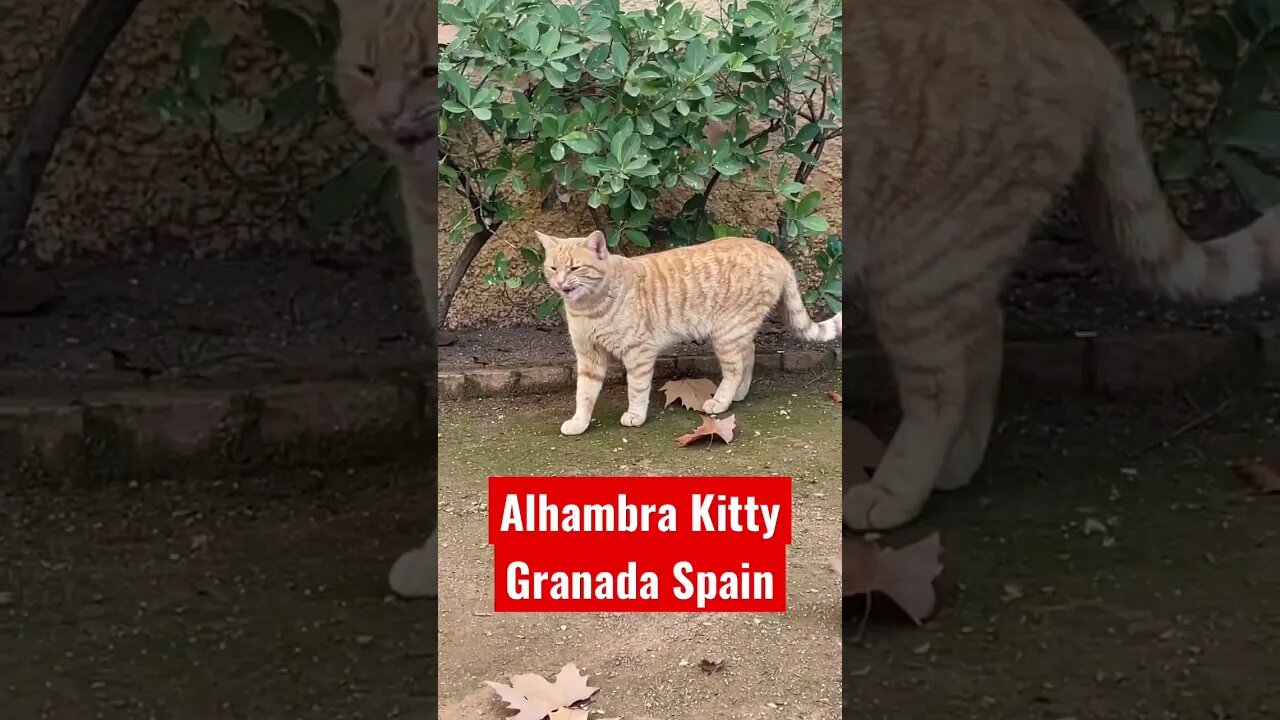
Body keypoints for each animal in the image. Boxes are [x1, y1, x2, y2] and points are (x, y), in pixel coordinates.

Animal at [537, 229, 844, 435]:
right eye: (552, 268)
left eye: (575, 268)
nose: (561, 282)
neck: (589, 309)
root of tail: (773, 251)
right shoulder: (589, 357)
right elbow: (584, 394)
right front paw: (579, 422)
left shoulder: (638, 353)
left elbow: (636, 389)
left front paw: (635, 415)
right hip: (737, 332)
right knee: (749, 354)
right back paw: (739, 394)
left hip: (727, 333)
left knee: (734, 368)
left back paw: (721, 401)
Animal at [844, 0, 1274, 527]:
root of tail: (1075, 26)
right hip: (947, 263)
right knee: (985, 336)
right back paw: (956, 465)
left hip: (917, 268)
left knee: (945, 388)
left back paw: (897, 493)